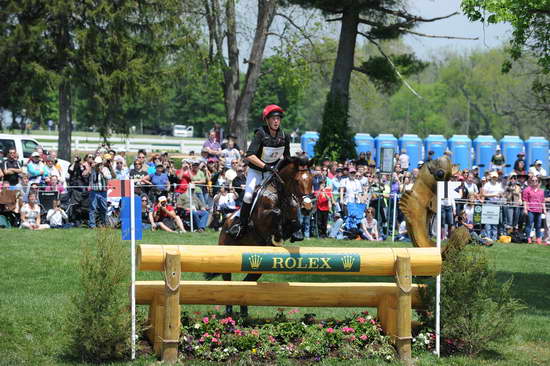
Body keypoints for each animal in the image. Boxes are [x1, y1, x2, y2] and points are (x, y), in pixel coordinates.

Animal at [206, 156, 312, 316]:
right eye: (297, 181)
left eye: (311, 180)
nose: (307, 208)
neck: (281, 194)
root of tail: (226, 222)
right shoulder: (263, 218)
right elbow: (276, 213)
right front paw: (277, 231)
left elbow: (294, 223)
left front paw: (289, 233)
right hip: (228, 252)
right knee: (227, 279)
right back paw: (229, 311)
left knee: (248, 281)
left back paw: (244, 311)